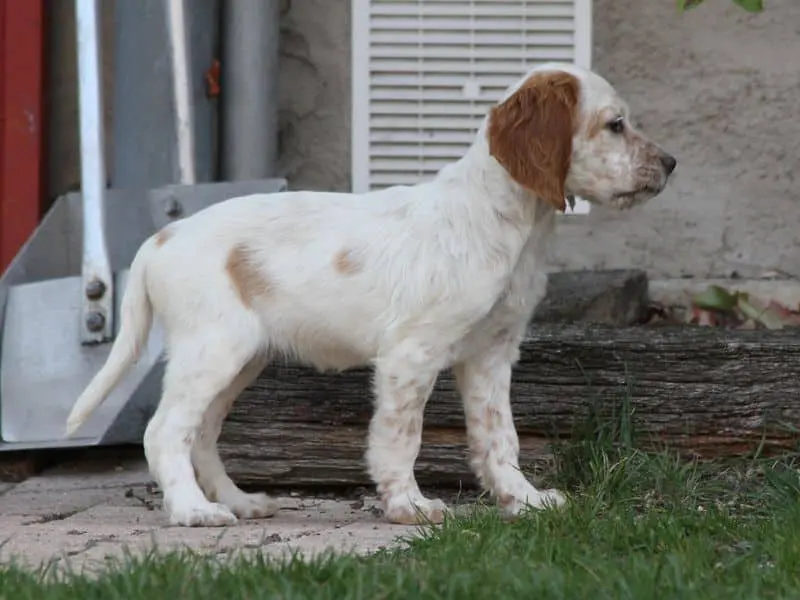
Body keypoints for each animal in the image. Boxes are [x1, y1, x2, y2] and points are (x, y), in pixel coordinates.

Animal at [65, 62, 676, 527]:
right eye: (615, 124)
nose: (671, 163)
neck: (506, 217)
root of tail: (160, 239)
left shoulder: (492, 354)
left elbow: (500, 437)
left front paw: (522, 500)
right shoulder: (411, 355)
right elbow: (401, 437)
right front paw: (410, 506)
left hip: (239, 359)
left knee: (203, 434)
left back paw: (240, 502)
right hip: (212, 349)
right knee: (165, 431)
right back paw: (194, 511)